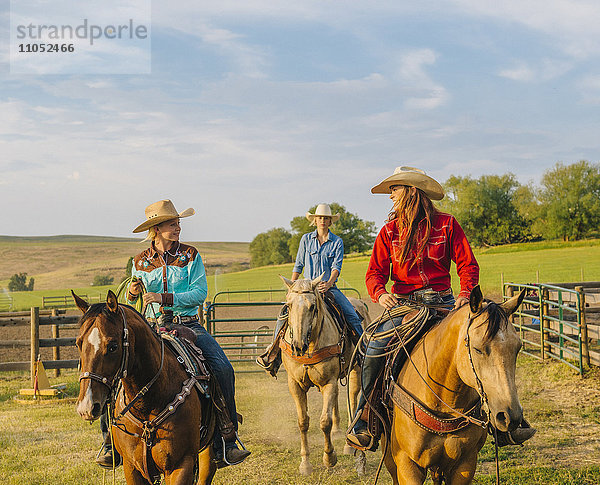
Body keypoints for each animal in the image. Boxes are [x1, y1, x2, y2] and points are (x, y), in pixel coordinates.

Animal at [74, 290, 216, 482]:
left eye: (113, 346)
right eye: (78, 343)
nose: (87, 407)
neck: (148, 405)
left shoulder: (181, 465)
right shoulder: (131, 467)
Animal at [280, 274, 370, 474]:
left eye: (312, 306)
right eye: (288, 306)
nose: (298, 345)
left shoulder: (329, 382)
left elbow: (324, 422)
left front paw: (329, 458)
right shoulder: (294, 384)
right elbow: (303, 422)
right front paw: (305, 464)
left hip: (355, 369)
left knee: (352, 399)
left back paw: (348, 444)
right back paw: (337, 430)